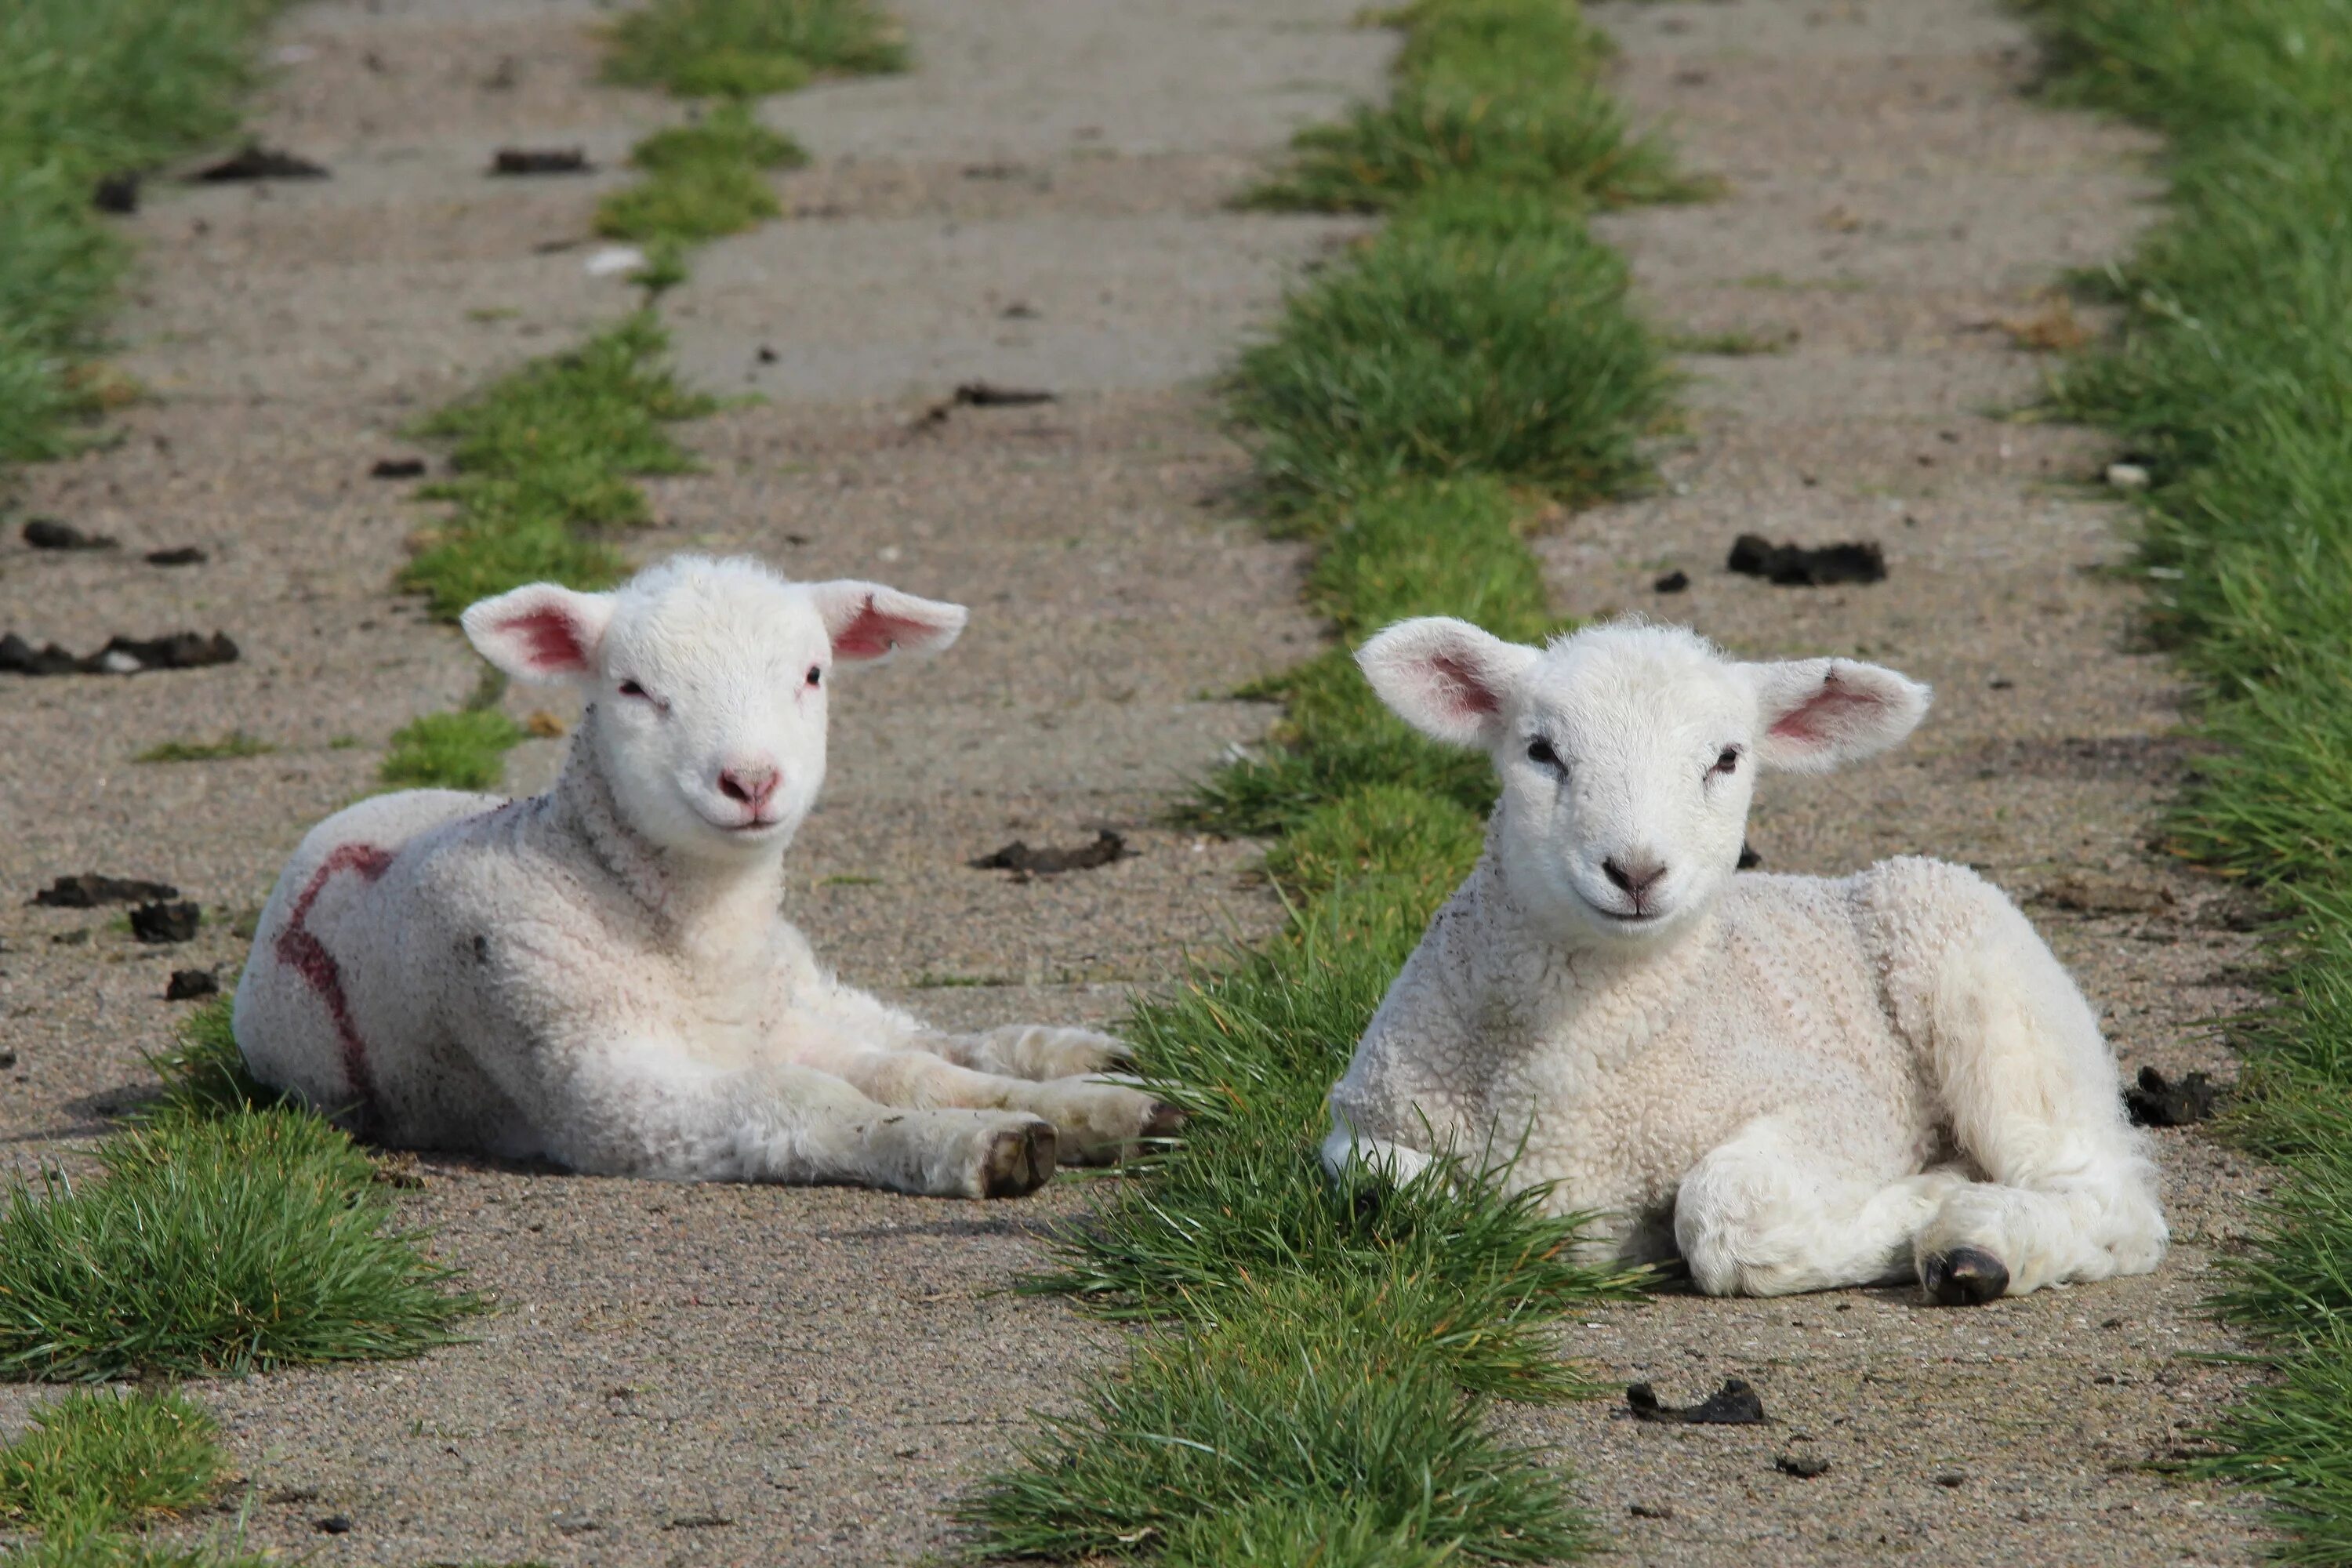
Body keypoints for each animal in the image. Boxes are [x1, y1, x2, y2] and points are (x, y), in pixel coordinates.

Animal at [238, 557, 1176, 1194]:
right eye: (631, 688)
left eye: (813, 674)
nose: (751, 781)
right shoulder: (599, 1087)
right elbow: (805, 1098)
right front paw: (978, 1143)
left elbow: (911, 1072)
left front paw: (1064, 1111)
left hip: (795, 979)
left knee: (923, 1038)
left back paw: (1098, 1069)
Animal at [1317, 620, 2154, 1307]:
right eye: (1541, 752)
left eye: (1726, 758)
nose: (1636, 871)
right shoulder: (1368, 1119)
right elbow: (1389, 1190)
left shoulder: (1846, 1110)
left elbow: (1725, 1215)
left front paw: (1927, 1198)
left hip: (1980, 976)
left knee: (2111, 1203)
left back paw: (1977, 1244)